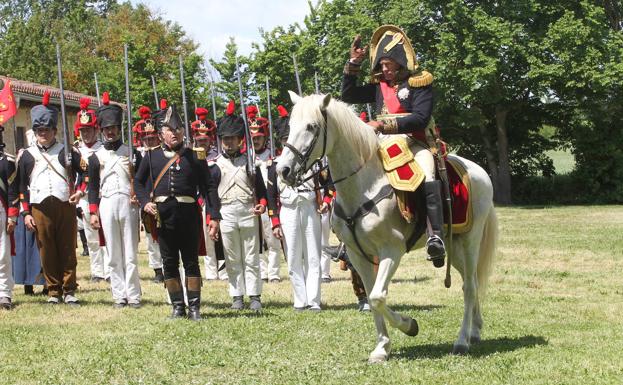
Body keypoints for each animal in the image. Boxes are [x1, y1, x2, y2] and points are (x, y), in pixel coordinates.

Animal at [278, 91, 498, 362]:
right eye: (291, 126)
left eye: (312, 126)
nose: (283, 170)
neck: (364, 185)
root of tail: (480, 172)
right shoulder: (357, 255)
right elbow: (372, 298)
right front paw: (382, 348)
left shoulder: (392, 250)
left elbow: (377, 296)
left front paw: (409, 325)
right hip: (454, 247)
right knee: (474, 282)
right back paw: (475, 331)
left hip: (470, 241)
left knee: (468, 287)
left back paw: (462, 341)